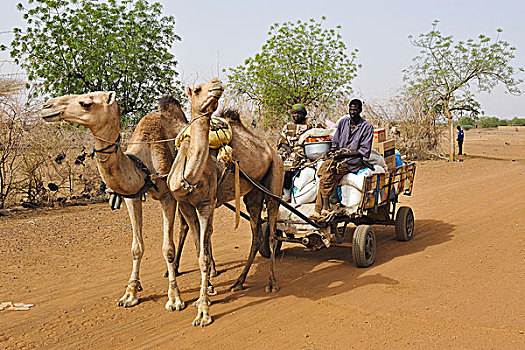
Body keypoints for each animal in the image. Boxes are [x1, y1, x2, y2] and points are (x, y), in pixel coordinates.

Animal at [39, 91, 190, 312]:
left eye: (86, 103)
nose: (47, 106)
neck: (144, 165)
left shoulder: (167, 197)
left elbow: (167, 249)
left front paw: (175, 298)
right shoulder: (132, 197)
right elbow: (136, 247)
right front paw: (130, 294)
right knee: (188, 225)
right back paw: (176, 270)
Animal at [167, 78, 282, 326]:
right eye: (197, 90)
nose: (216, 83)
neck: (189, 175)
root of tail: (273, 149)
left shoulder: (206, 204)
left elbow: (203, 256)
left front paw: (203, 311)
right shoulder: (186, 205)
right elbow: (198, 247)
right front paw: (205, 294)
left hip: (274, 181)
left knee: (271, 234)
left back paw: (271, 283)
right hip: (253, 193)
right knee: (257, 234)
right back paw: (238, 282)